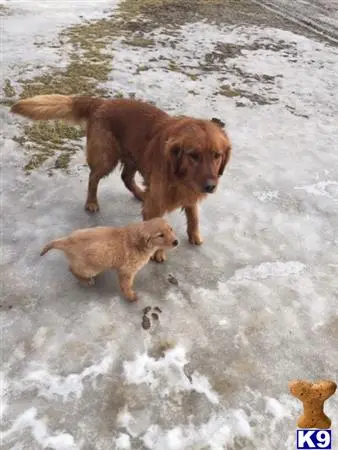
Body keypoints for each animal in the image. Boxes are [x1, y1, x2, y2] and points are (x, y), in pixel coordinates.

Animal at [39, 216, 178, 300]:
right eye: (160, 235)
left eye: (171, 229)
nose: (176, 242)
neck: (140, 243)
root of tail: (67, 240)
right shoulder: (127, 271)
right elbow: (126, 285)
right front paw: (131, 296)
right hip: (90, 268)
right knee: (72, 269)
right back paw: (87, 281)